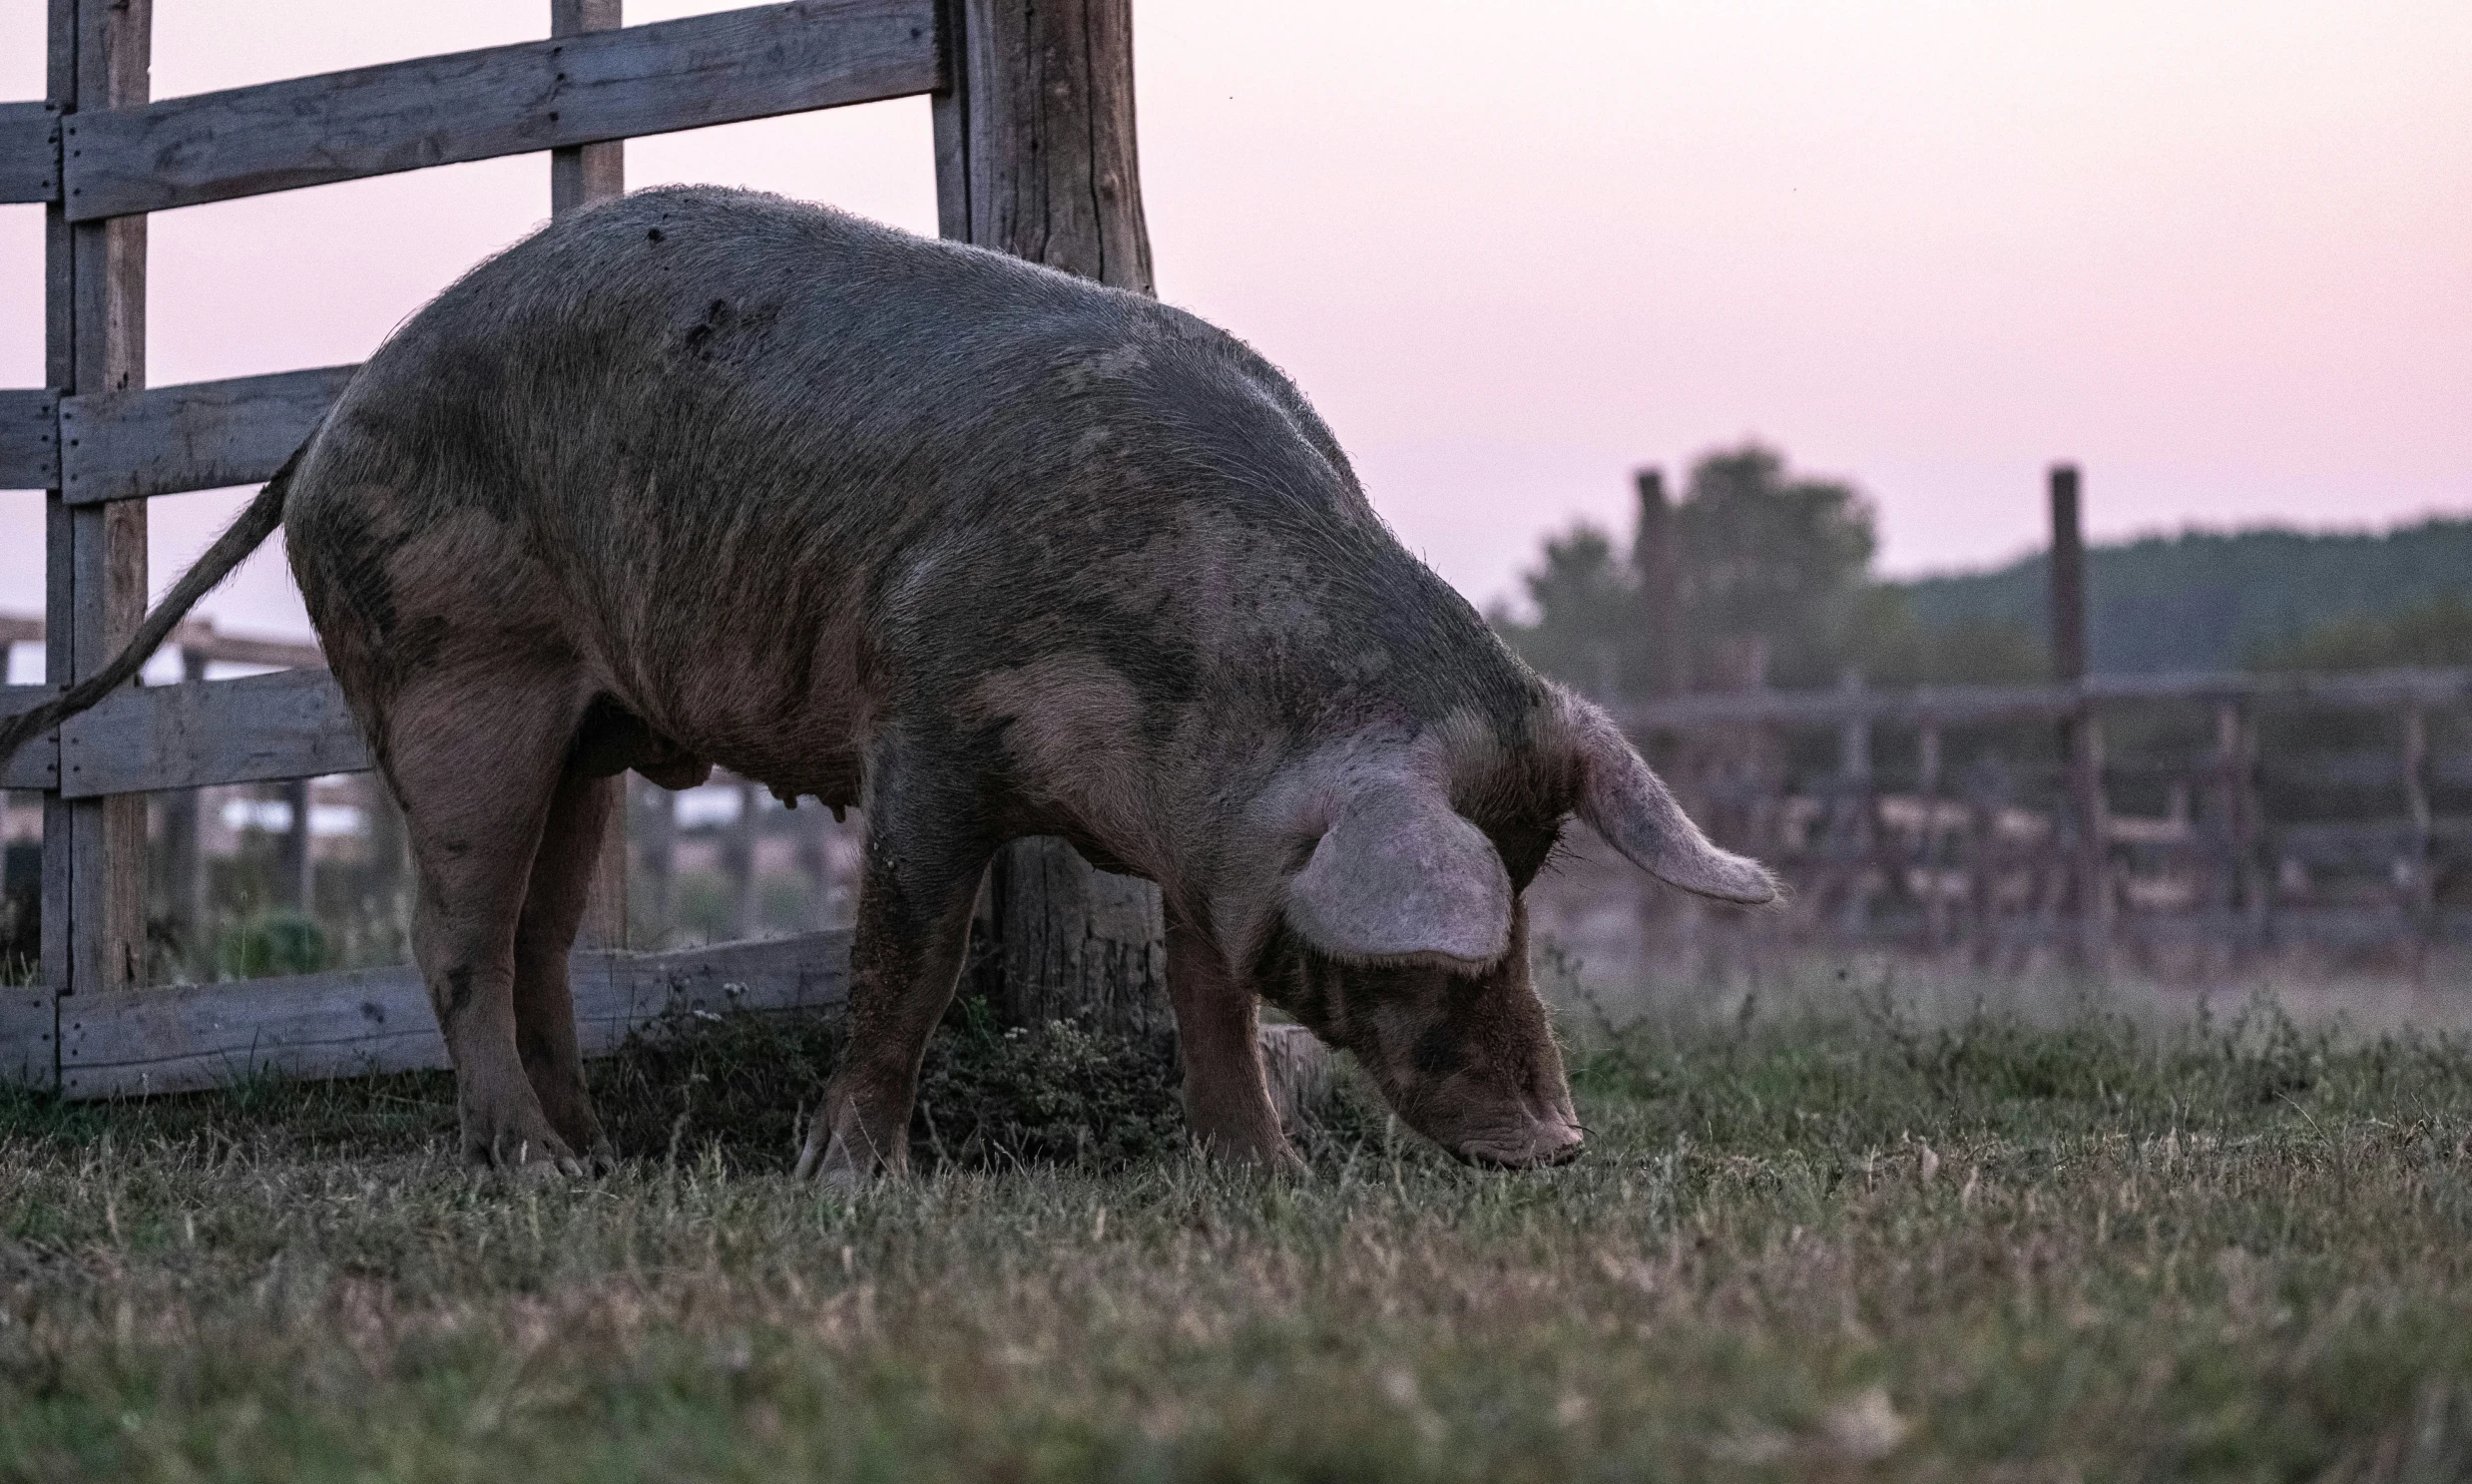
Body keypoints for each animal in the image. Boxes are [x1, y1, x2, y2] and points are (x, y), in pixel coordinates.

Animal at [4, 188, 1779, 1182]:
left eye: (1535, 889)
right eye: (1442, 947)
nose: (1554, 1143)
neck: (1205, 685)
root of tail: (331, 411)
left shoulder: (1211, 844)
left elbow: (1206, 993)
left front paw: (1262, 1180)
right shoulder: (925, 722)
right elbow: (906, 955)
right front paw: (851, 1178)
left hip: (584, 726)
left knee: (542, 935)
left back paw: (604, 1151)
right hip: (458, 674)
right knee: (450, 928)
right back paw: (533, 1171)